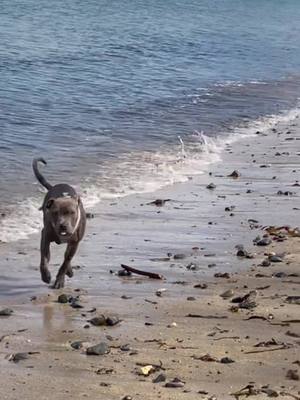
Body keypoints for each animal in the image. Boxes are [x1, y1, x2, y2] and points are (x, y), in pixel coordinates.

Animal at [32, 158, 85, 290]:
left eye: (72, 212)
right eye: (55, 213)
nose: (62, 225)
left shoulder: (75, 242)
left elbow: (65, 262)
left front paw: (60, 280)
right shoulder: (45, 237)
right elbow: (44, 258)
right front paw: (45, 275)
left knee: (67, 257)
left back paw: (69, 271)